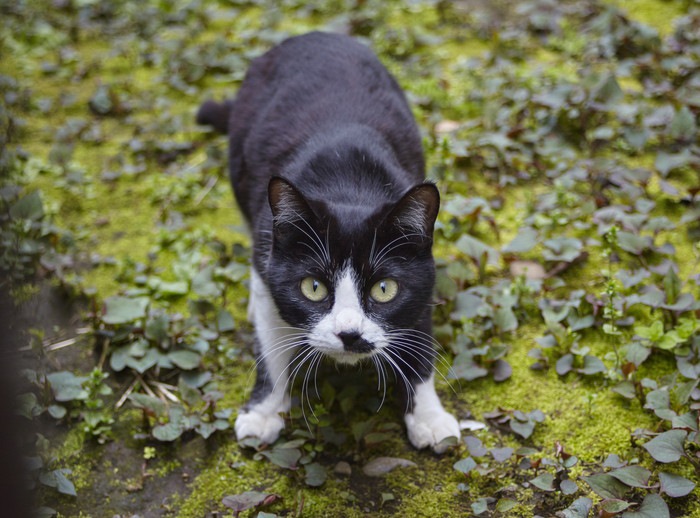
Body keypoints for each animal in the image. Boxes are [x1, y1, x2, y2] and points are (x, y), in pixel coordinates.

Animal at [197, 31, 460, 456]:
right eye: (313, 287)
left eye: (384, 289)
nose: (349, 334)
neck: (347, 180)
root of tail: (308, 36)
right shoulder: (271, 252)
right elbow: (271, 345)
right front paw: (263, 412)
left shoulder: (423, 275)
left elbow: (419, 338)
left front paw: (429, 417)